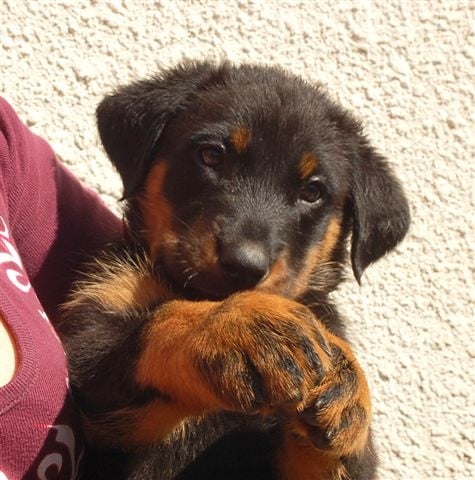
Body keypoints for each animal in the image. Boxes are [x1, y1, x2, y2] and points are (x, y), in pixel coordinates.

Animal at [58, 61, 410, 479]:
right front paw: (234, 325)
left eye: (312, 191)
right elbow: (156, 323)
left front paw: (347, 381)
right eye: (211, 156)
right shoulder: (94, 367)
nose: (244, 265)